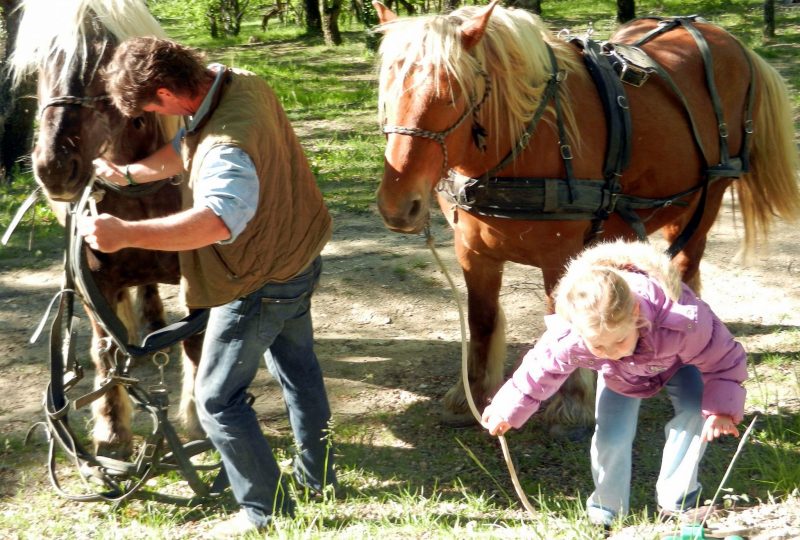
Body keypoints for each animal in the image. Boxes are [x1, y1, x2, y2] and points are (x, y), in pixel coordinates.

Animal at [9, 0, 203, 456]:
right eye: (40, 58)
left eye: (105, 54)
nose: (54, 166)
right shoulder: (92, 282)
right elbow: (104, 353)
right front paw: (112, 433)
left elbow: (195, 343)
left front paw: (197, 417)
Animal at [374, 2, 800, 428]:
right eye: (386, 91)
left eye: (451, 94)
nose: (397, 205)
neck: (529, 138)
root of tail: (723, 37)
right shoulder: (473, 252)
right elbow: (482, 321)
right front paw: (470, 397)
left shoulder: (559, 255)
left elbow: (564, 323)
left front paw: (572, 403)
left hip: (706, 200)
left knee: (685, 269)